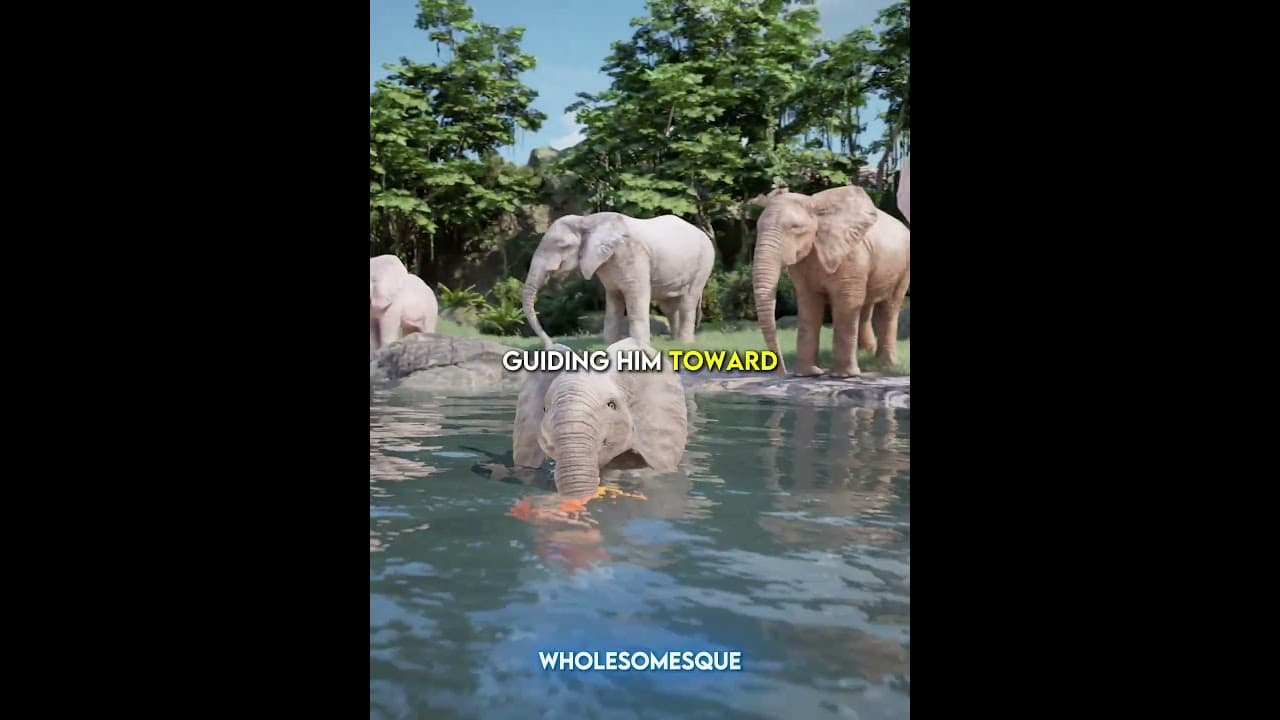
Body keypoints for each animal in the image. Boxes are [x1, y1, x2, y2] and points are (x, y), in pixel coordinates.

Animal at [521, 212, 715, 347]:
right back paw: (673, 342)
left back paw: (684, 343)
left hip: (704, 263)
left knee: (687, 301)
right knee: (668, 305)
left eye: (562, 246)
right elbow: (613, 301)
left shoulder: (632, 254)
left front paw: (639, 348)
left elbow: (636, 297)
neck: (588, 220)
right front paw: (610, 346)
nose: (550, 345)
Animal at [752, 185, 910, 377]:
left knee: (888, 308)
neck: (814, 206)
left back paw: (885, 365)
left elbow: (846, 302)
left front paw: (844, 376)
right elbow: (809, 305)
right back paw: (865, 355)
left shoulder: (851, 254)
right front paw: (808, 374)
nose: (782, 371)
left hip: (904, 267)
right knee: (865, 307)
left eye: (795, 228)